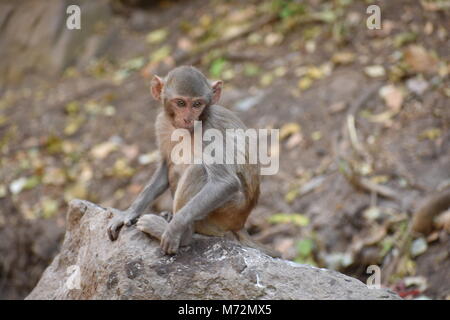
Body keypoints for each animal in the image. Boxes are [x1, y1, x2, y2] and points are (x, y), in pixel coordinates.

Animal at [107, 66, 280, 258]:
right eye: (181, 103)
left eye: (197, 104)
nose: (188, 118)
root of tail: (241, 223)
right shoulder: (161, 124)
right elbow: (165, 167)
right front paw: (129, 213)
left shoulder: (211, 131)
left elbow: (225, 182)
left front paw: (174, 229)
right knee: (175, 168)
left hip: (227, 213)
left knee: (199, 170)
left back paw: (181, 235)